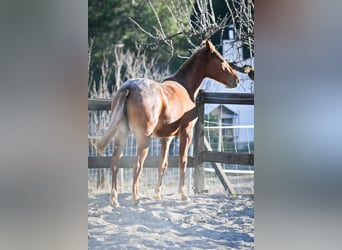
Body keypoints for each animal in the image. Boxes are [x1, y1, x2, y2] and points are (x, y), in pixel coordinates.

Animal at [96, 39, 239, 207]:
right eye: (221, 60)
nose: (236, 79)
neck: (185, 86)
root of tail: (128, 88)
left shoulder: (167, 138)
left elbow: (162, 165)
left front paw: (157, 195)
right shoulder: (186, 133)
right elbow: (183, 161)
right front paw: (183, 195)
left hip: (122, 136)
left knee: (114, 163)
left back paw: (114, 200)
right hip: (143, 139)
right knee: (137, 165)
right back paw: (136, 198)